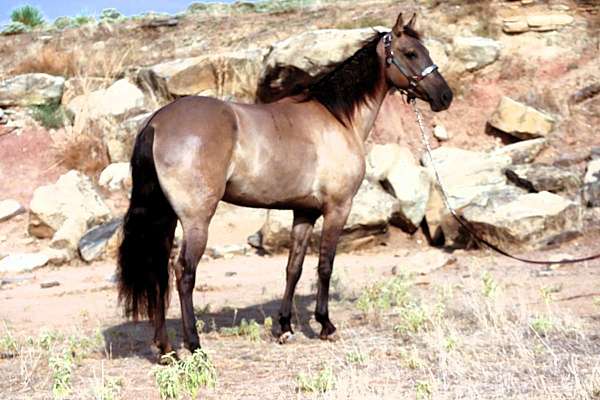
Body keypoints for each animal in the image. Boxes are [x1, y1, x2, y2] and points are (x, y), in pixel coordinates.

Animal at [119, 11, 452, 360]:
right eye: (411, 53)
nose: (445, 96)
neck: (338, 119)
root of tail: (157, 122)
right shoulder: (337, 208)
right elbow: (325, 266)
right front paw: (325, 325)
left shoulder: (304, 213)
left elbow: (294, 268)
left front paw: (285, 327)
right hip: (197, 219)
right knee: (183, 272)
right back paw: (194, 346)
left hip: (167, 216)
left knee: (157, 269)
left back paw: (166, 349)